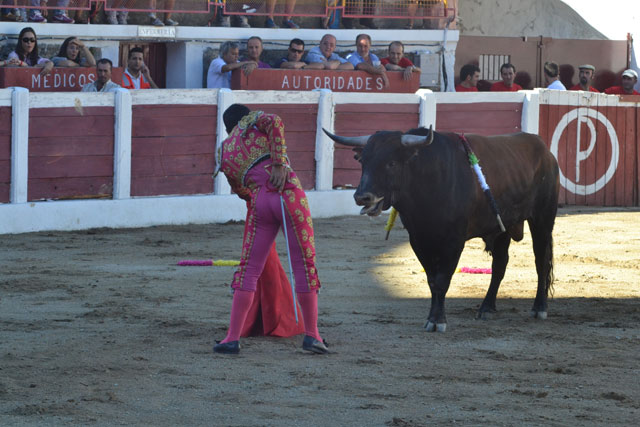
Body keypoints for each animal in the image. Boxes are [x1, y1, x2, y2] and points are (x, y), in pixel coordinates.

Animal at [324, 127, 560, 334]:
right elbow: (432, 280)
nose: (362, 197)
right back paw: (486, 307)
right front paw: (431, 318)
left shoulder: (454, 242)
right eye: (364, 161)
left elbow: (442, 279)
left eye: (391, 163)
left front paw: (438, 321)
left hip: (543, 219)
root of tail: (546, 152)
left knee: (541, 261)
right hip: (503, 227)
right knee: (500, 264)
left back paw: (539, 308)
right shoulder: (418, 239)